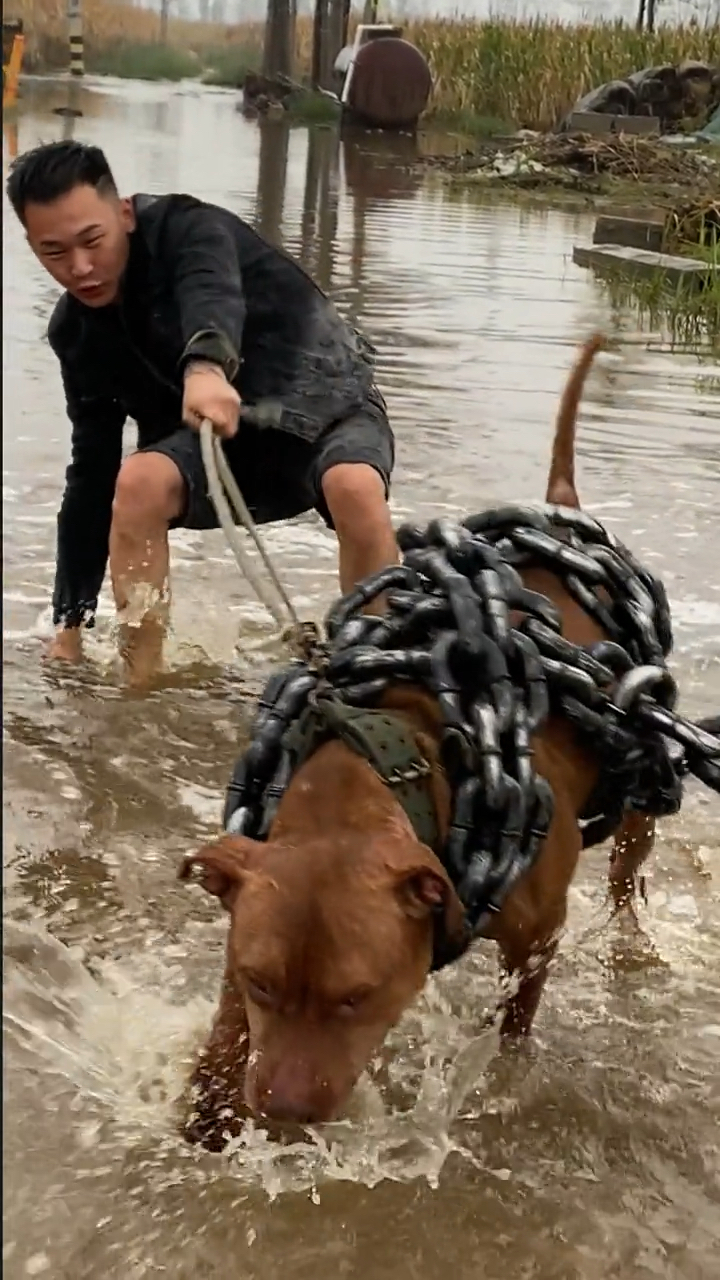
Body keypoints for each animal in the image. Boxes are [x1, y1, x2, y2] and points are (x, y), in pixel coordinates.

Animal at [178, 337, 650, 1152]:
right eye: (264, 982)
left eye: (356, 996)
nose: (284, 1110)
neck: (388, 766)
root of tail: (560, 515)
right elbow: (227, 1032)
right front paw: (207, 1108)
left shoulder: (538, 936)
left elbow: (513, 1027)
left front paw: (501, 1080)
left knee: (628, 866)